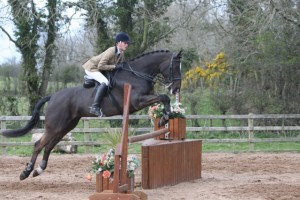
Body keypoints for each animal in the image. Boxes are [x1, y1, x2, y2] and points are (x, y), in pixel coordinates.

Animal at [0, 49, 183, 180]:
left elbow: (163, 99)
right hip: (55, 126)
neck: (137, 74)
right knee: (39, 144)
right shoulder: (137, 101)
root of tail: (52, 96)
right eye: (175, 67)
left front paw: (165, 118)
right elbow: (163, 97)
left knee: (49, 146)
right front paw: (165, 117)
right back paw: (26, 172)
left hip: (66, 126)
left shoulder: (144, 99)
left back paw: (39, 170)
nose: (176, 89)